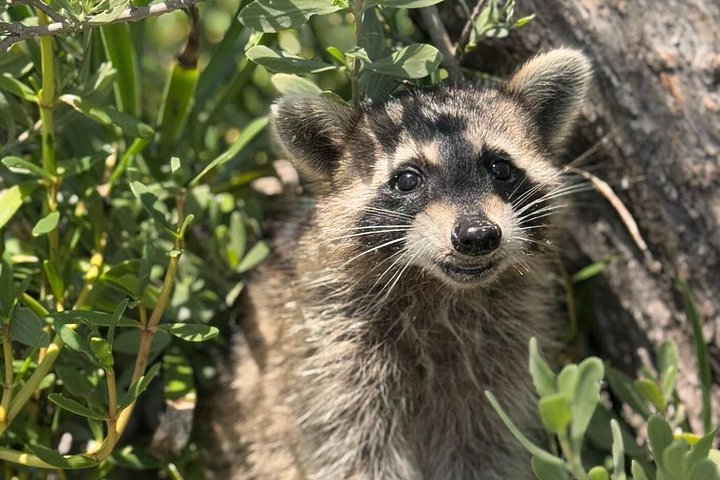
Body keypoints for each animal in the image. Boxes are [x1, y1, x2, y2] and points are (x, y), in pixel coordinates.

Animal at [210, 48, 592, 480]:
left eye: (500, 167)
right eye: (408, 179)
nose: (478, 235)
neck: (439, 289)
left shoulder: (501, 355)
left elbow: (485, 444)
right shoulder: (333, 350)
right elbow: (352, 448)